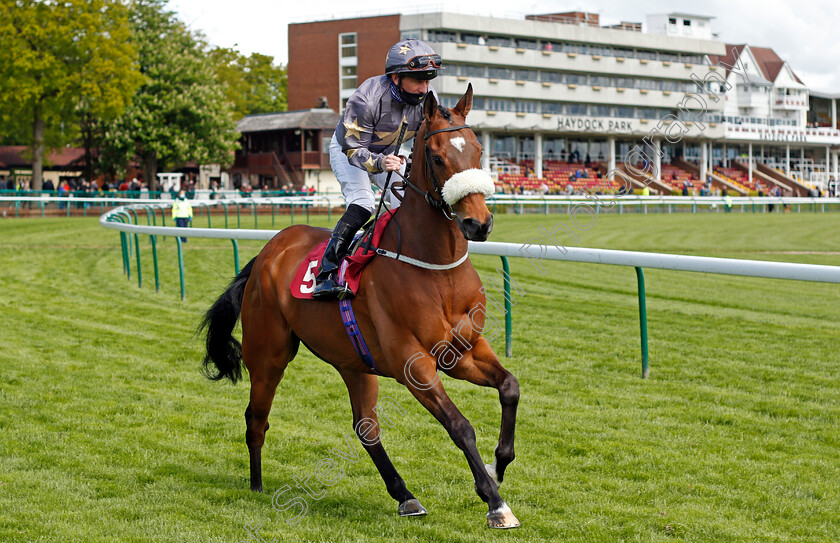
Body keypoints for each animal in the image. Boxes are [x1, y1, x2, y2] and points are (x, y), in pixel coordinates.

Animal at [202, 84, 520, 528]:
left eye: (478, 150)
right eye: (437, 156)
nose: (479, 223)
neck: (436, 269)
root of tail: (268, 251)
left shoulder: (463, 352)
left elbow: (510, 387)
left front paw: (499, 465)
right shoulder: (413, 363)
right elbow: (460, 426)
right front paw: (495, 502)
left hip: (354, 362)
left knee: (365, 427)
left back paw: (405, 496)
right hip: (268, 354)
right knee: (256, 418)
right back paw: (256, 486)